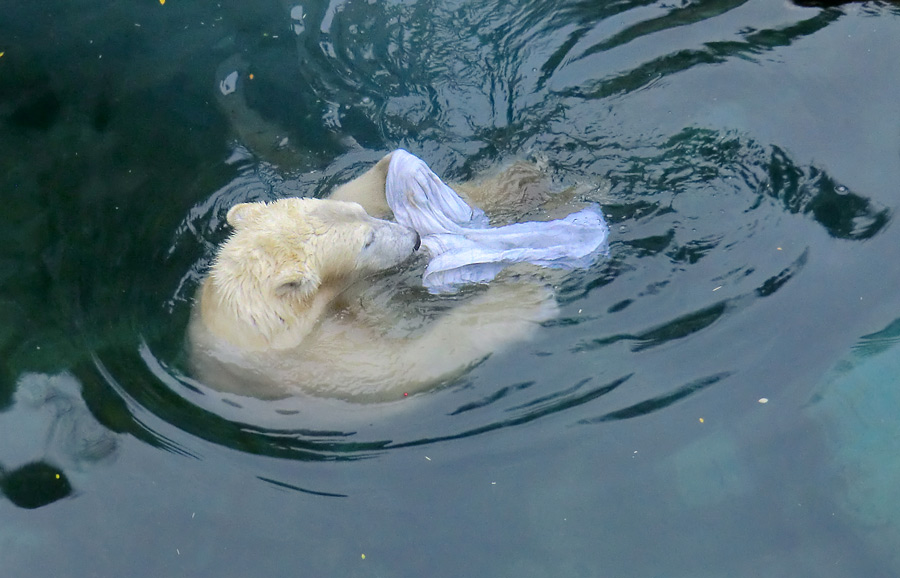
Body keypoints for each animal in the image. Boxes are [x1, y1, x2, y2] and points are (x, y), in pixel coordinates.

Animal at [188, 152, 556, 400]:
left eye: (362, 214)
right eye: (367, 242)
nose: (414, 238)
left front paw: (395, 170)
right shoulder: (310, 363)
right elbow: (403, 366)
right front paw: (521, 300)